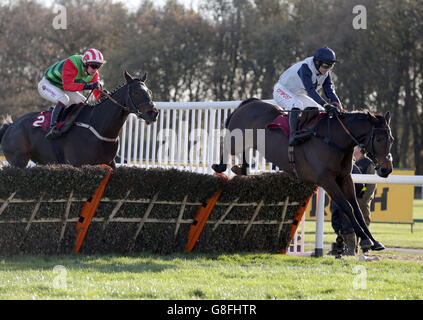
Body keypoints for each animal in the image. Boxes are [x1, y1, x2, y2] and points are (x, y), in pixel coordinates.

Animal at [0, 71, 159, 169]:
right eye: (136, 92)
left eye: (150, 92)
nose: (154, 113)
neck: (99, 126)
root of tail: (11, 126)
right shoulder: (78, 164)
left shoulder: (109, 162)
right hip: (18, 160)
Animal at [214, 97, 396, 252]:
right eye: (379, 139)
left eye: (392, 139)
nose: (386, 169)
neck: (335, 139)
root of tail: (249, 102)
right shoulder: (326, 180)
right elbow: (346, 206)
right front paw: (365, 240)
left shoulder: (345, 178)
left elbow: (357, 208)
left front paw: (374, 241)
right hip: (236, 139)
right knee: (226, 146)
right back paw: (219, 166)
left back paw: (242, 169)